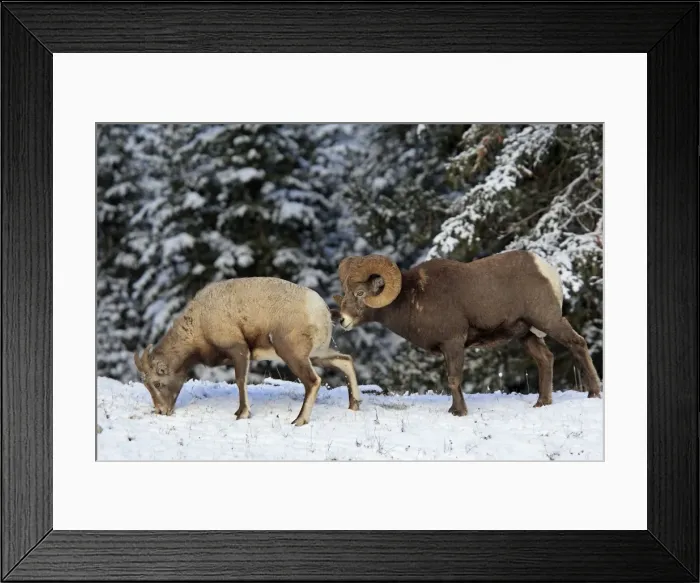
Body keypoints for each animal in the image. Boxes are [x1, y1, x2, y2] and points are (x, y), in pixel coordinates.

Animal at [133, 277, 361, 426]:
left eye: (158, 383)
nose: (161, 410)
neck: (199, 326)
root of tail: (322, 310)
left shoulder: (239, 350)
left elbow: (241, 381)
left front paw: (242, 414)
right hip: (317, 354)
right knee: (346, 360)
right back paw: (354, 405)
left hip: (293, 354)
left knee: (313, 381)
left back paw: (299, 420)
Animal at [331, 250, 601, 416]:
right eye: (345, 293)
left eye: (360, 293)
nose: (341, 320)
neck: (413, 299)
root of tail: (547, 270)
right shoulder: (447, 349)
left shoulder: (454, 343)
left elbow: (454, 379)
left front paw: (458, 412)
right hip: (527, 335)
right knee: (546, 359)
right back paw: (542, 403)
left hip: (548, 321)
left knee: (577, 344)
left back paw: (594, 394)